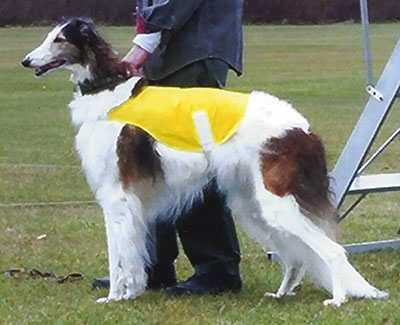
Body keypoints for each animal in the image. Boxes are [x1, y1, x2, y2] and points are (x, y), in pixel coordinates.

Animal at [21, 18, 388, 306]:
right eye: (48, 35)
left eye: (59, 39)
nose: (25, 61)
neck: (105, 88)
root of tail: (305, 129)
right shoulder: (134, 204)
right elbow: (135, 257)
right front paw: (132, 292)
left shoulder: (117, 197)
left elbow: (119, 258)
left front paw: (114, 297)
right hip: (253, 204)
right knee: (295, 257)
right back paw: (282, 293)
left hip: (276, 202)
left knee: (331, 250)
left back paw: (338, 299)